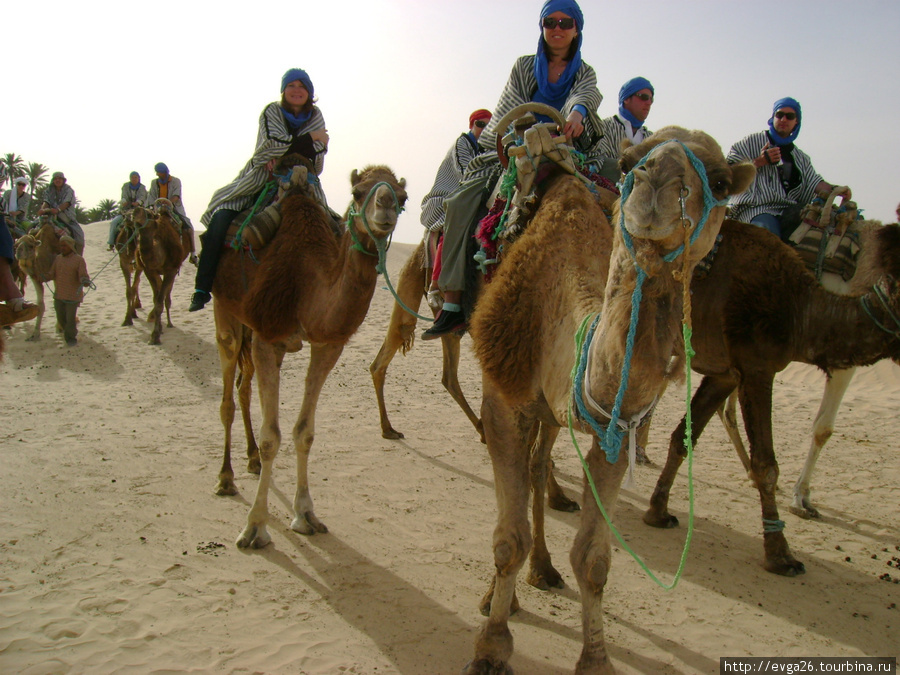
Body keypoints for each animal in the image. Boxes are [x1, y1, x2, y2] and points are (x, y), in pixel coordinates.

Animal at [133, 197, 189, 344]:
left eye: (149, 214)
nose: (135, 211)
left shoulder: (171, 270)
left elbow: (159, 302)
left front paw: (155, 336)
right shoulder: (149, 270)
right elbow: (155, 299)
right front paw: (156, 331)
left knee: (166, 295)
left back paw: (169, 323)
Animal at [211, 166, 408, 552]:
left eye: (403, 197)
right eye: (357, 191)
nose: (386, 206)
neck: (306, 288)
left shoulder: (328, 345)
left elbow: (304, 433)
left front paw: (305, 515)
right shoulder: (269, 339)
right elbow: (272, 437)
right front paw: (254, 528)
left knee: (243, 387)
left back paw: (251, 460)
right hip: (225, 312)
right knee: (227, 396)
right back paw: (226, 479)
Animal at [464, 128, 752, 675]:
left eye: (722, 182)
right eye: (629, 160)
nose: (656, 178)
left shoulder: (615, 430)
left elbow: (594, 560)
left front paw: (595, 660)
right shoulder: (503, 398)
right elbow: (507, 539)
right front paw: (491, 649)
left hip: (554, 414)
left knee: (538, 467)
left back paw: (542, 570)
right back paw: (497, 598)